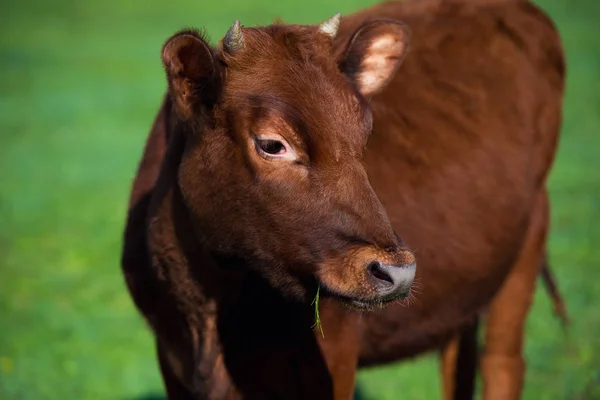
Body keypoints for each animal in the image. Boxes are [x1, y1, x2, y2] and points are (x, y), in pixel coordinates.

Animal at [120, 0, 564, 398]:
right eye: (271, 144)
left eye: (365, 136)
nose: (397, 271)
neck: (208, 313)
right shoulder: (173, 362)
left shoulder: (333, 359)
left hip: (530, 239)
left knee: (502, 363)